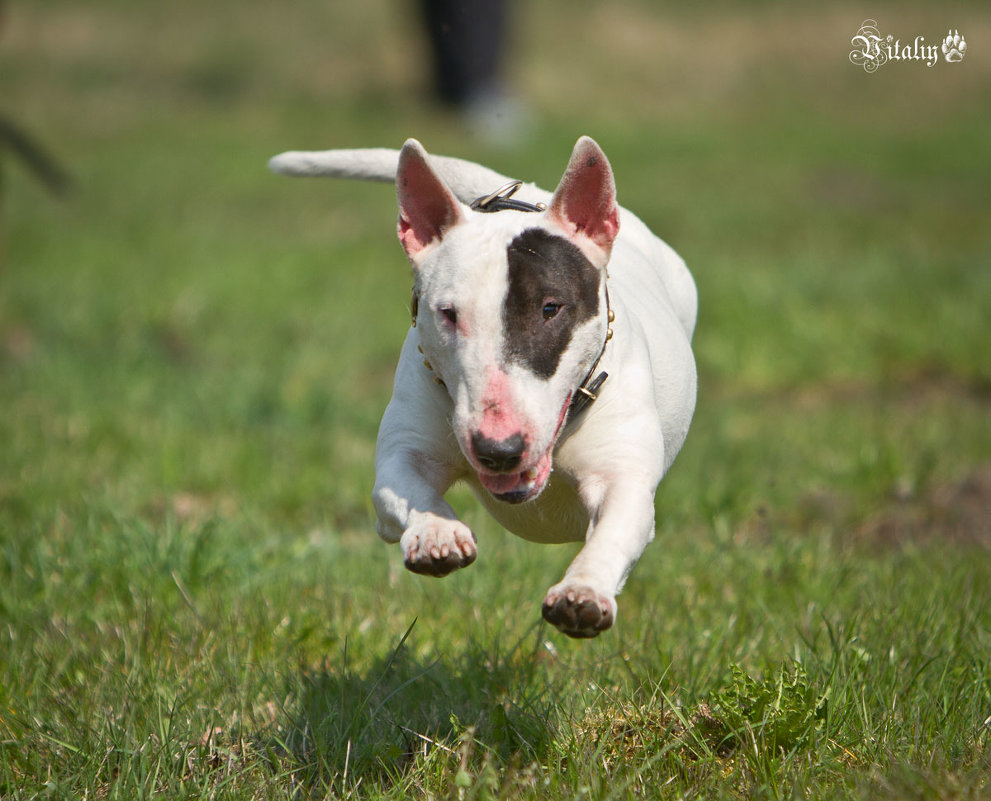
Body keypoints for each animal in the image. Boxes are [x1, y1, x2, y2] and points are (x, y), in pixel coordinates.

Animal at [268, 139, 692, 636]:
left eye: (551, 308)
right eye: (448, 313)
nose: (498, 450)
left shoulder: (623, 477)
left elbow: (615, 528)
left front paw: (582, 592)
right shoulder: (404, 453)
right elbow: (404, 483)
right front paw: (435, 532)